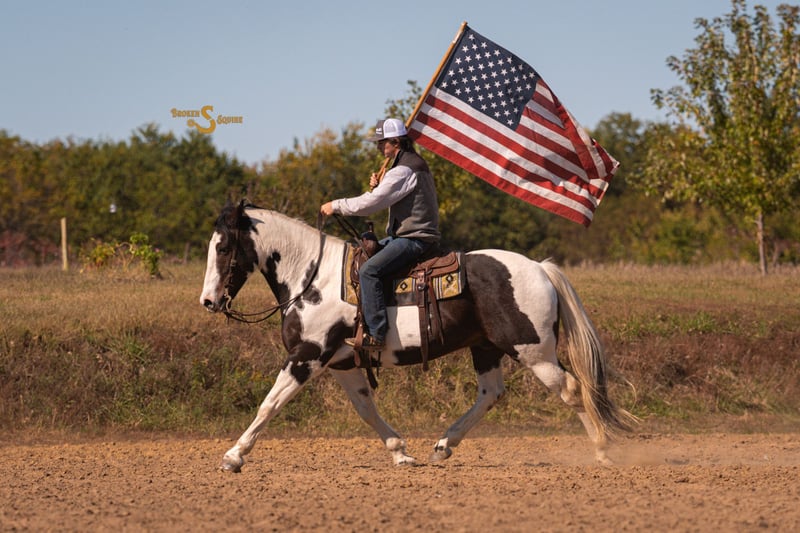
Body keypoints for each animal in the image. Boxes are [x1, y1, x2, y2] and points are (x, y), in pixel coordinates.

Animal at [200, 200, 636, 472]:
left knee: (572, 390)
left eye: (223, 247)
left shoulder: (308, 355)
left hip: (534, 352)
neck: (313, 277)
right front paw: (401, 454)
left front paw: (234, 456)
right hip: (487, 349)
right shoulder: (342, 363)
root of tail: (540, 268)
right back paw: (443, 446)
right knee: (491, 393)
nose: (208, 300)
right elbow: (366, 409)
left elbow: (269, 404)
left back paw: (602, 450)